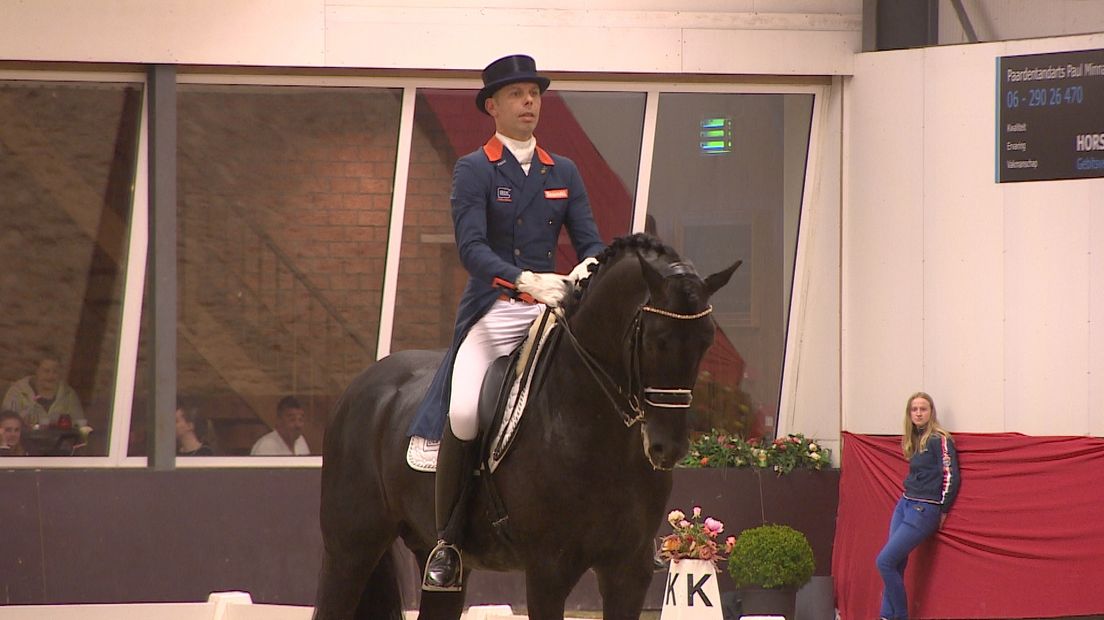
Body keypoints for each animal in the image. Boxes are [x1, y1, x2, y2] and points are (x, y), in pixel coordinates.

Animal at [315, 232, 737, 617]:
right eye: (657, 340)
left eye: (706, 341)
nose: (668, 448)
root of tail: (363, 384)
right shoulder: (548, 571)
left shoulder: (629, 571)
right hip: (350, 551)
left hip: (435, 562)